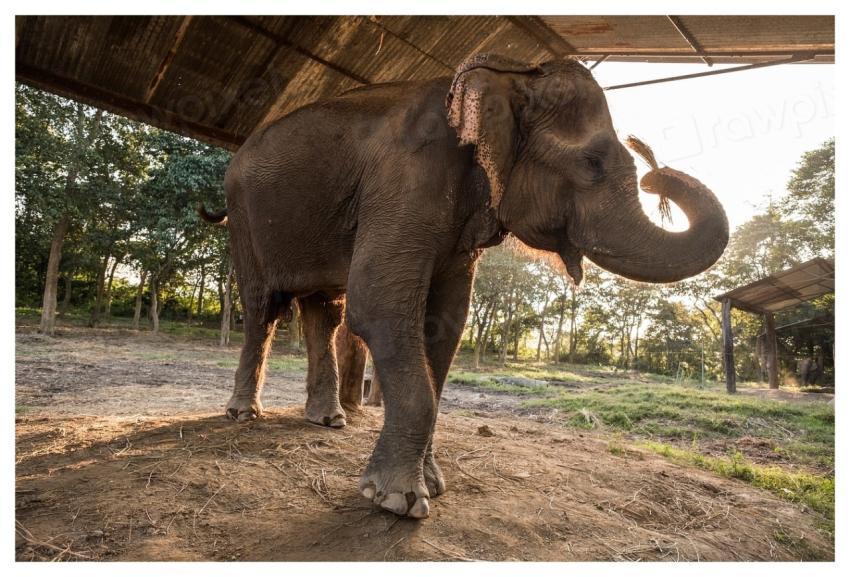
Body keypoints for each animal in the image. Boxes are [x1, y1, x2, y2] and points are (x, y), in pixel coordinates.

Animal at [198, 53, 729, 518]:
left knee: (323, 311)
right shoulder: (406, 178)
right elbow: (379, 306)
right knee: (264, 307)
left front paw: (431, 485)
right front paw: (398, 501)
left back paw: (328, 419)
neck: (510, 78)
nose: (657, 175)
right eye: (593, 162)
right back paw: (244, 413)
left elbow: (446, 324)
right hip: (245, 217)